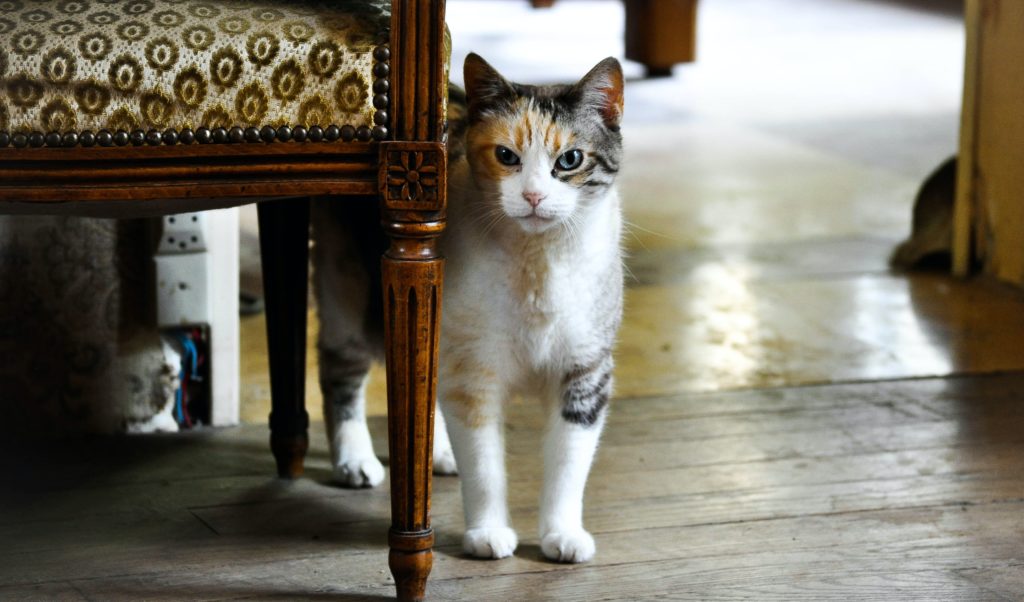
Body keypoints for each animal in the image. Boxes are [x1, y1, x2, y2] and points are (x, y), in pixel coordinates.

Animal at [309, 52, 622, 565]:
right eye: (507, 157)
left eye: (570, 160)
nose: (534, 196)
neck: (538, 262)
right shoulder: (475, 372)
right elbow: (485, 464)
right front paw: (487, 533)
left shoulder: (584, 371)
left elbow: (568, 464)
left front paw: (562, 534)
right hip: (348, 291)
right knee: (340, 370)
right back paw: (354, 459)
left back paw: (432, 450)